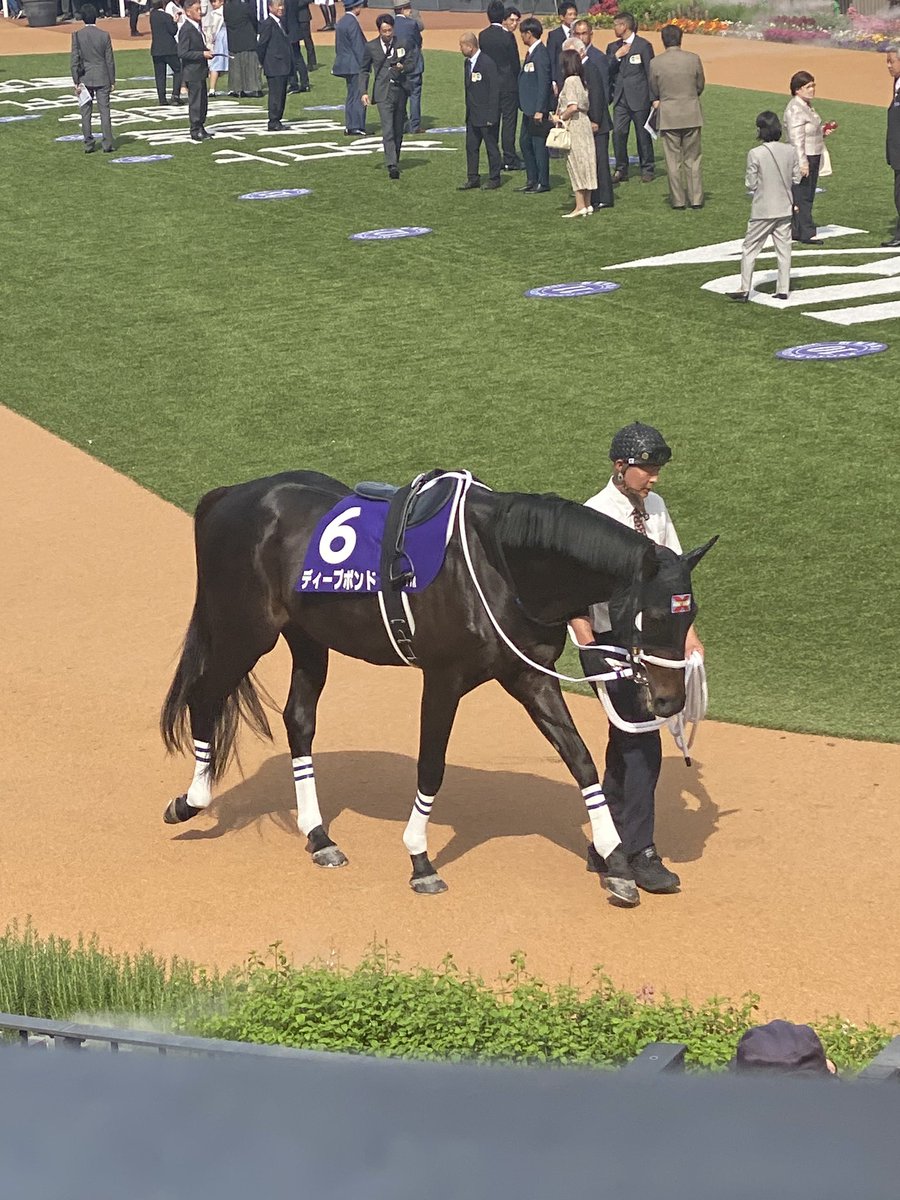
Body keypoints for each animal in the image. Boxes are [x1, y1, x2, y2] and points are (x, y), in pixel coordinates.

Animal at [161, 470, 716, 908]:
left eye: (690, 615)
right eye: (654, 614)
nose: (670, 700)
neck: (499, 563)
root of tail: (228, 495)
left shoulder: (530, 675)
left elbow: (580, 759)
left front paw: (617, 862)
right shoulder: (444, 678)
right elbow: (432, 765)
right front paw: (420, 859)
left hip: (307, 637)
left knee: (298, 719)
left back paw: (318, 836)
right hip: (245, 630)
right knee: (204, 696)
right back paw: (191, 800)